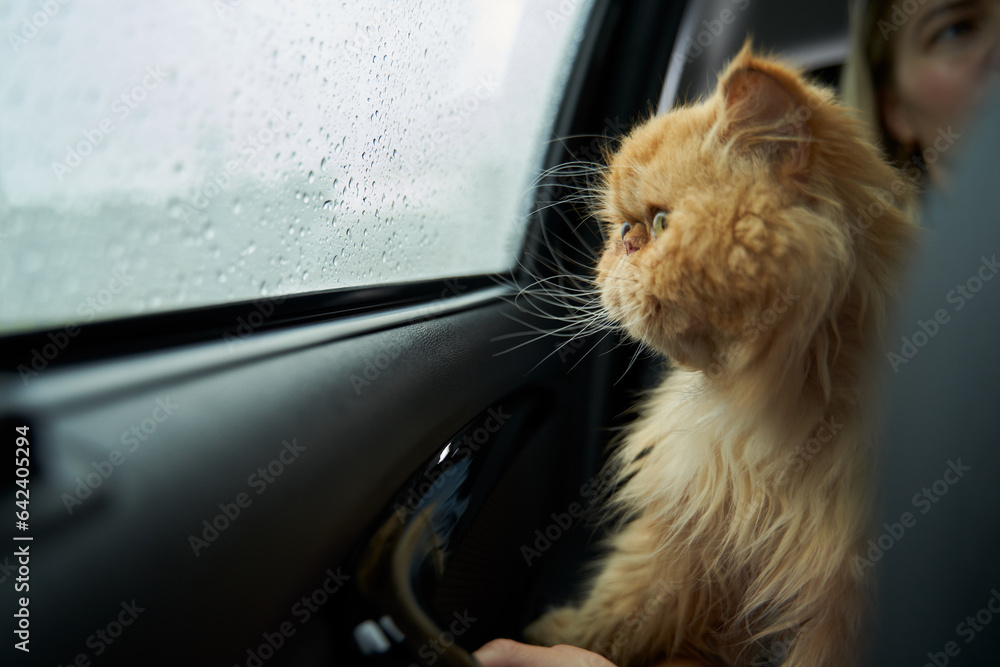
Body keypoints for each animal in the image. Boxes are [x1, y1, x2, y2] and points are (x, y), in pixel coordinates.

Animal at [528, 44, 916, 664]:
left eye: (661, 223)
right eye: (621, 229)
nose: (623, 246)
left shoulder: (838, 611)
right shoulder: (687, 529)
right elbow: (621, 603)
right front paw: (553, 635)